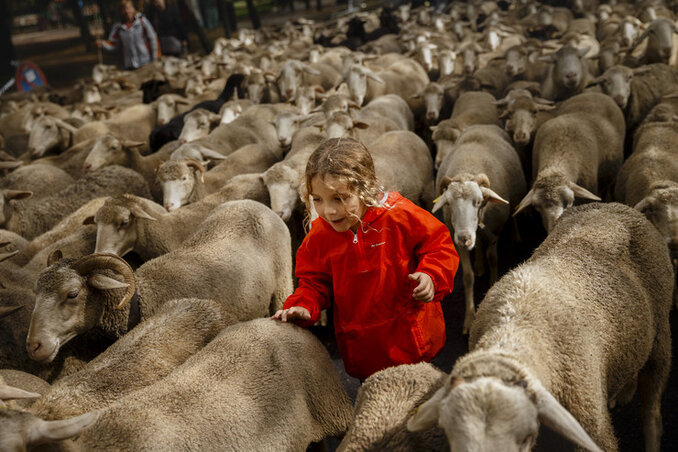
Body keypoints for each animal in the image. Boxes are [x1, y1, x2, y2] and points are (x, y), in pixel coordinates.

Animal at [406, 203, 676, 452]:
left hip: (661, 340)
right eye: (449, 434)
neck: (513, 335)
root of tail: (612, 205)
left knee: (652, 416)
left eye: (526, 437)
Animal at [432, 125, 528, 334]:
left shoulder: (495, 231)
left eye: (478, 201)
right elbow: (467, 277)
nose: (465, 238)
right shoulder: (457, 238)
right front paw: (469, 319)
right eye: (449, 203)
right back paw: (478, 263)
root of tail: (482, 125)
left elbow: (493, 258)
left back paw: (516, 236)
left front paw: (491, 287)